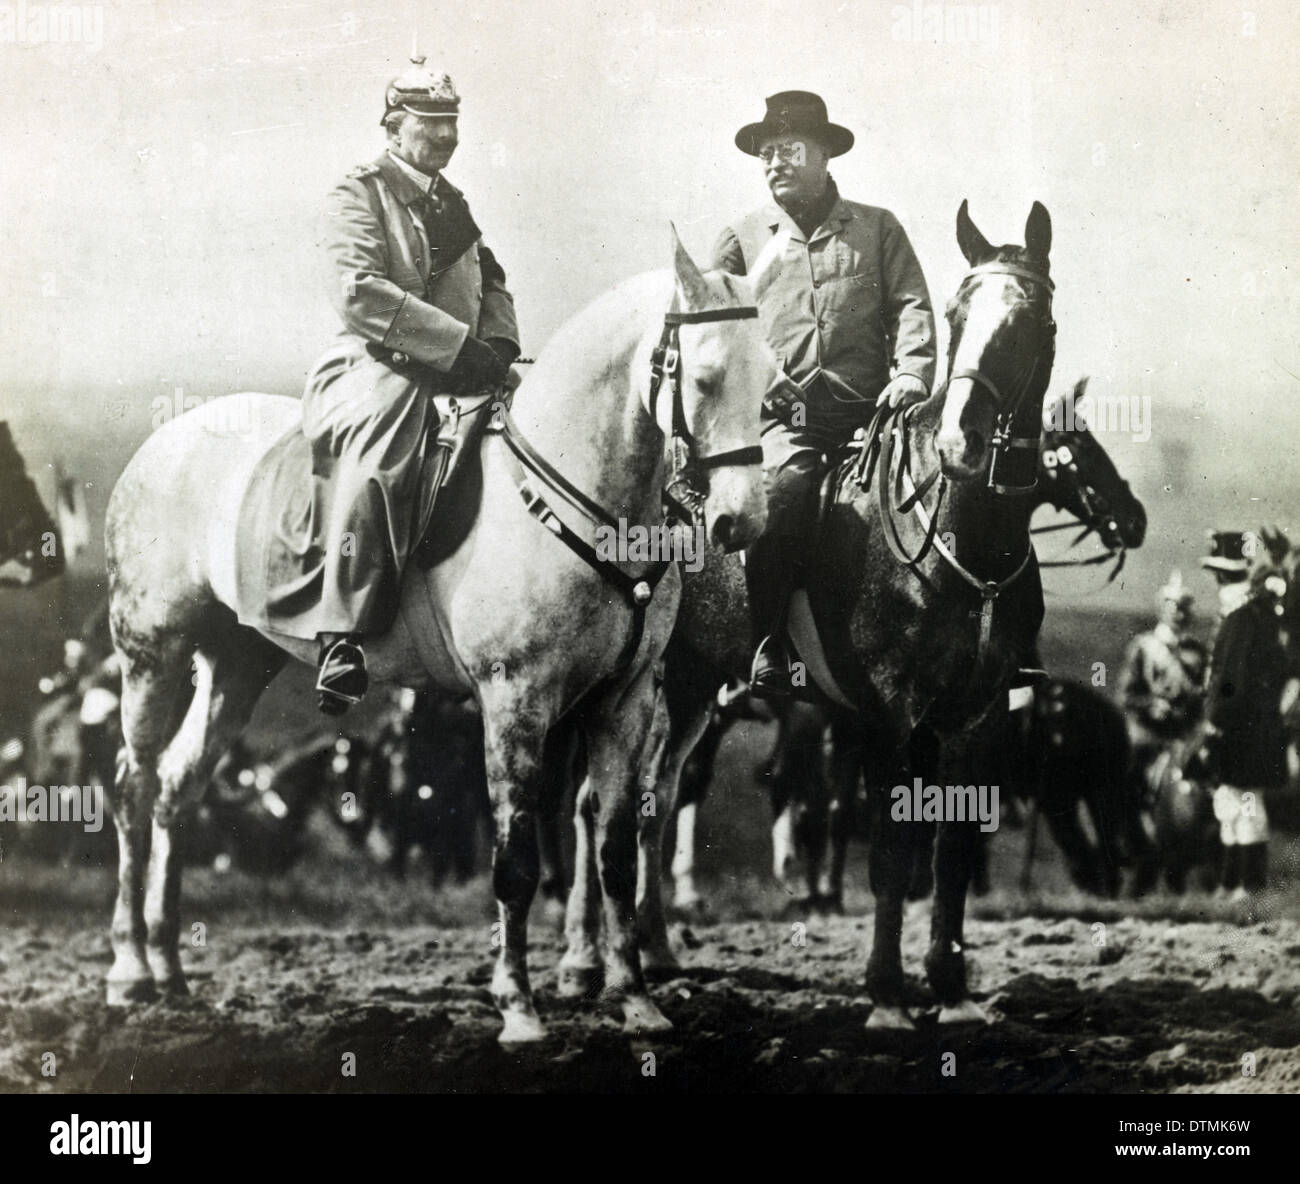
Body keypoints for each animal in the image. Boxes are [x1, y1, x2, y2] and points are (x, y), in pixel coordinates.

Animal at [104, 233, 769, 1044]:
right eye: (704, 378)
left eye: (772, 378)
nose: (742, 522)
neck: (573, 498)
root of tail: (165, 439)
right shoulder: (516, 699)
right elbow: (515, 860)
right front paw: (518, 1008)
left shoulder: (626, 701)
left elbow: (613, 848)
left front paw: (635, 999)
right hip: (152, 656)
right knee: (134, 788)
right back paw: (130, 969)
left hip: (235, 667)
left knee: (175, 791)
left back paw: (169, 969)